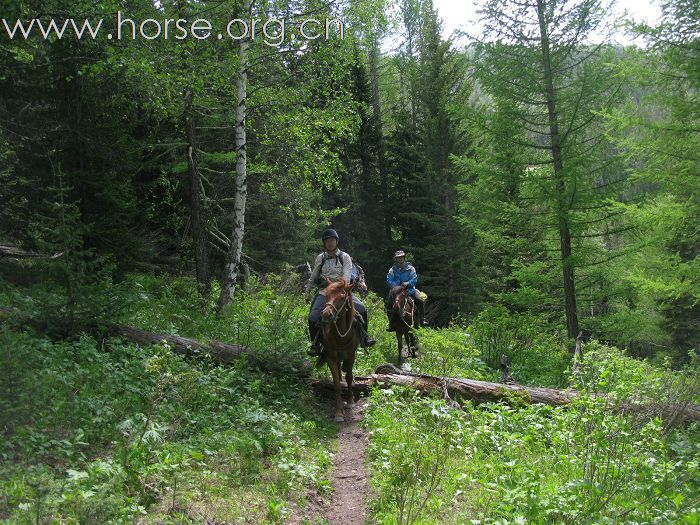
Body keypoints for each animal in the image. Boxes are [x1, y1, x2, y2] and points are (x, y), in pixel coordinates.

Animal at [318, 278, 360, 422]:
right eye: (326, 295)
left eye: (342, 297)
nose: (326, 315)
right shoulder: (331, 356)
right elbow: (336, 383)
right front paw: (338, 413)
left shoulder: (351, 355)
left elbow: (349, 377)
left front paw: (350, 401)